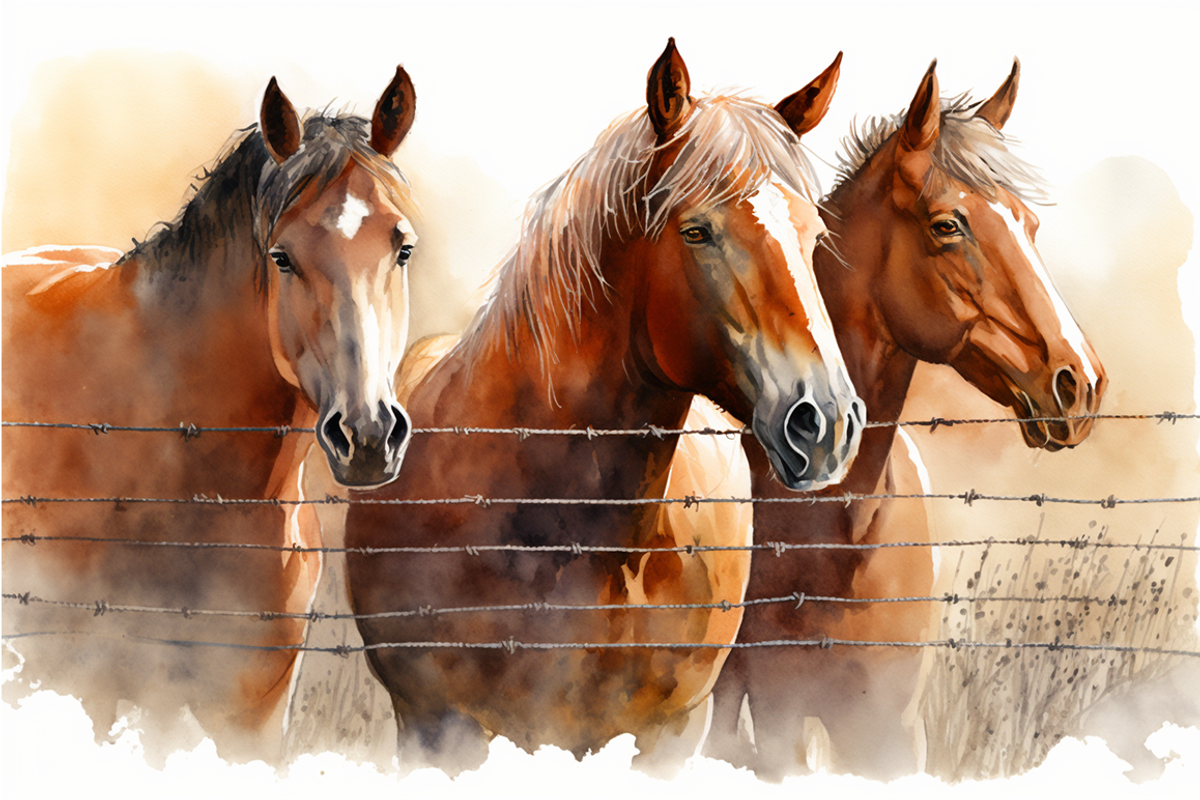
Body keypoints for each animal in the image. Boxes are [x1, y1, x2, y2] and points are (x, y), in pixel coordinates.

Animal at [684, 59, 1107, 779]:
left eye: (1028, 224)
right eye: (947, 225)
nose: (1078, 382)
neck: (837, 534)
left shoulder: (888, 730)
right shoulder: (777, 716)